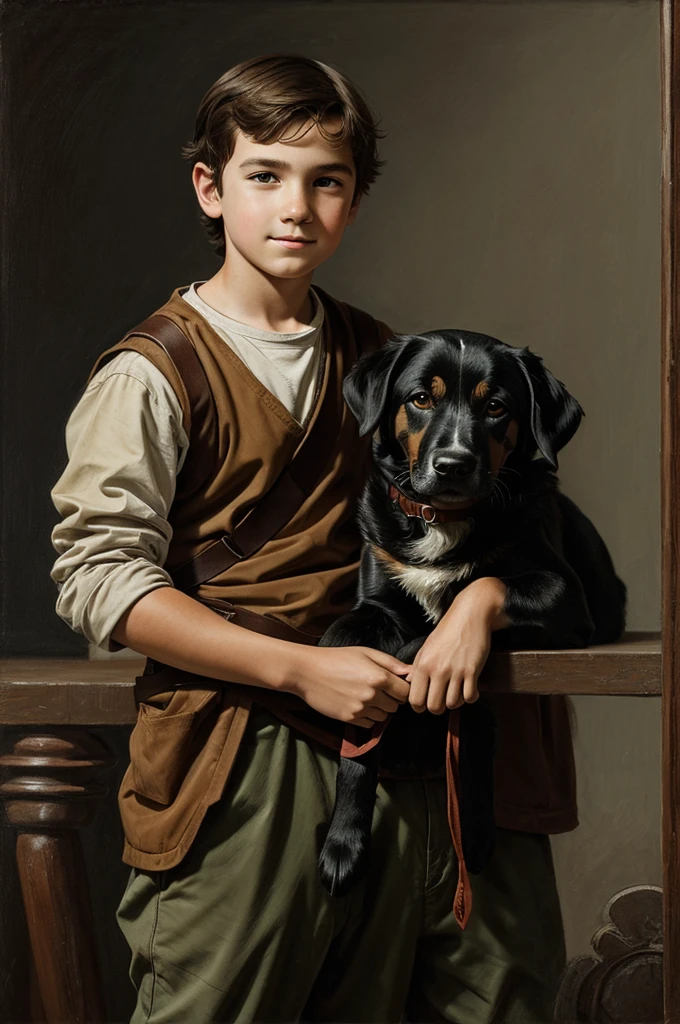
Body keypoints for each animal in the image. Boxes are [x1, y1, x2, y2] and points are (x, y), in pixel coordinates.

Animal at [317, 325, 626, 897]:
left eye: (497, 406)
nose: (453, 465)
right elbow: (354, 713)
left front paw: (425, 658)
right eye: (421, 398)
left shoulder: (563, 597)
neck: (445, 521)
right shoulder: (371, 605)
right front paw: (343, 844)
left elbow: (467, 598)